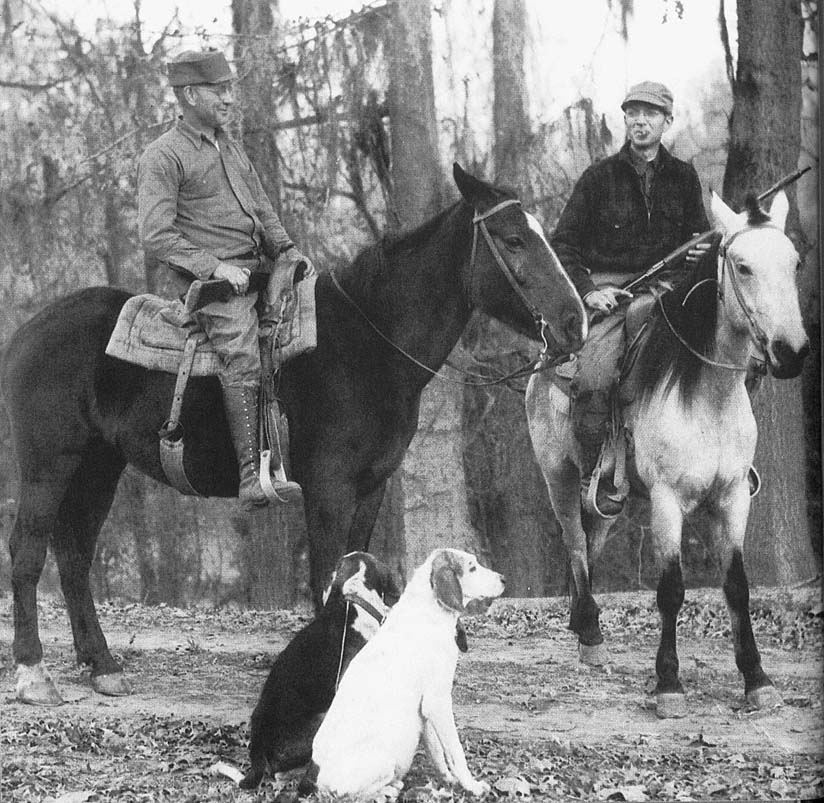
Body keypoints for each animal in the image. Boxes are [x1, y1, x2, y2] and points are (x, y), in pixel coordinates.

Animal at [3, 163, 588, 704]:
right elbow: (329, 579)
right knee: (28, 550)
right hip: (47, 466)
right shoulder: (329, 490)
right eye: (513, 240)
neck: (369, 345)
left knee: (74, 555)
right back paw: (34, 673)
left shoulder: (370, 489)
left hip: (97, 468)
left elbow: (357, 572)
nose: (575, 322)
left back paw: (101, 664)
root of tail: (26, 332)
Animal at [300, 548, 506, 800]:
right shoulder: (438, 702)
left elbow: (438, 754)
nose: (504, 579)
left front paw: (449, 780)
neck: (430, 612)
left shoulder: (426, 712)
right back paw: (390, 789)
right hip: (383, 760)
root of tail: (316, 779)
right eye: (472, 567)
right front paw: (472, 786)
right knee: (355, 796)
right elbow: (456, 752)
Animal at [524, 192, 808, 720]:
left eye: (794, 263)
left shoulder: (733, 499)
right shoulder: (667, 501)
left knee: (592, 539)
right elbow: (671, 589)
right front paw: (669, 683)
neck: (707, 394)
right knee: (574, 542)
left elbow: (736, 586)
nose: (791, 352)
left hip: (610, 497)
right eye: (742, 266)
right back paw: (590, 635)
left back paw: (583, 626)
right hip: (558, 475)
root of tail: (545, 361)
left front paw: (757, 680)